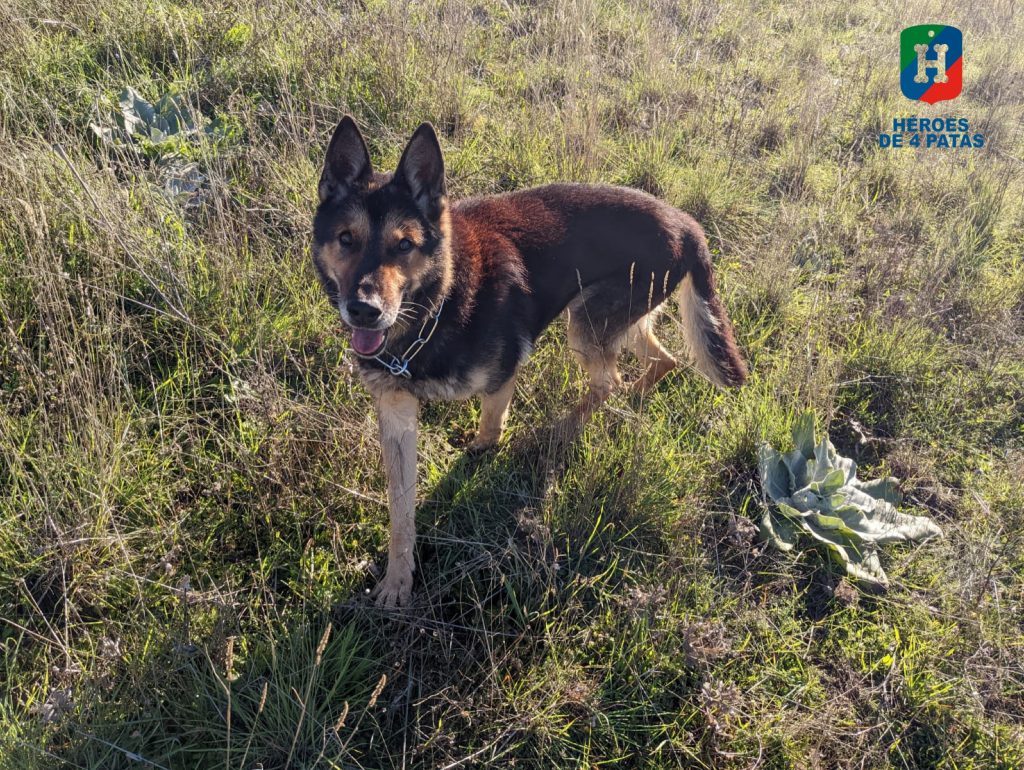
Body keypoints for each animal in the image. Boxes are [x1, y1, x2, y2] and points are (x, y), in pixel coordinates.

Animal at [311, 115, 745, 606]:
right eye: (347, 239)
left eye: (404, 246)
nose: (363, 311)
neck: (439, 303)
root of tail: (688, 224)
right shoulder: (397, 412)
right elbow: (400, 509)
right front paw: (398, 580)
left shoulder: (501, 377)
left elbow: (489, 429)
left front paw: (480, 455)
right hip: (615, 319)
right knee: (662, 362)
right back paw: (629, 400)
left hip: (587, 323)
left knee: (608, 381)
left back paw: (561, 430)